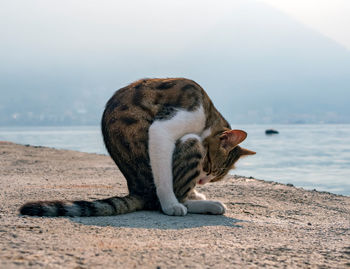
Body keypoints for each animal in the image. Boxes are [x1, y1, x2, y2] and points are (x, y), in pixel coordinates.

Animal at [19, 77, 254, 216]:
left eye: (214, 177)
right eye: (208, 165)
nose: (203, 181)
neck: (208, 117)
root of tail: (137, 189)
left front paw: (196, 191)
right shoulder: (165, 127)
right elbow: (165, 184)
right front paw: (171, 205)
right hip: (190, 143)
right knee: (164, 196)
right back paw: (205, 205)